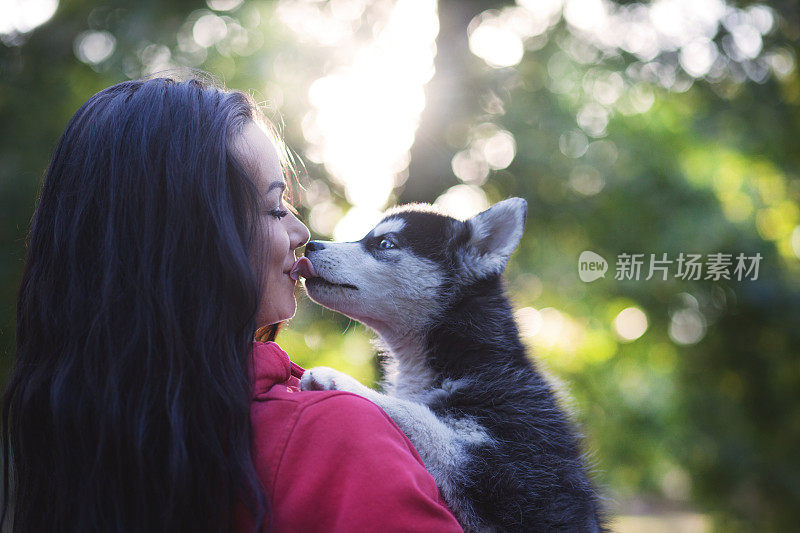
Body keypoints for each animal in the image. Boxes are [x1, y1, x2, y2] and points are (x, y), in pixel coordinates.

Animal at [296, 197, 604, 528]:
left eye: (385, 243)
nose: (310, 245)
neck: (470, 359)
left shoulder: (509, 474)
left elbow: (417, 414)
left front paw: (341, 381)